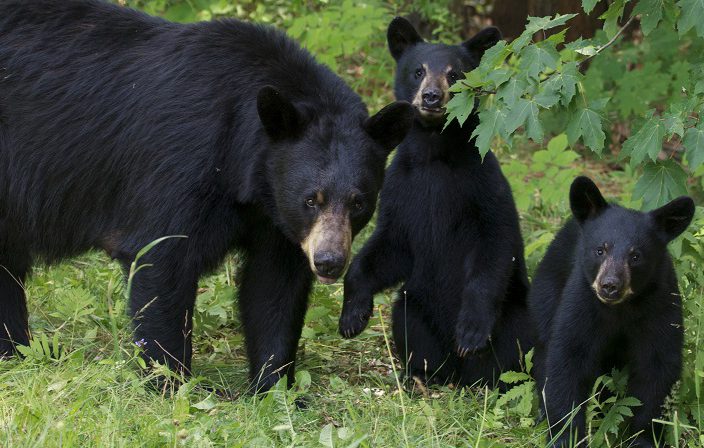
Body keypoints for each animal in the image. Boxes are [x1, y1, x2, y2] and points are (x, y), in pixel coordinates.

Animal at [0, 0, 414, 393]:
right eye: (311, 199)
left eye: (359, 202)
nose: (329, 262)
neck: (243, 169)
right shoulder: (179, 165)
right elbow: (160, 259)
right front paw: (171, 383)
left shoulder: (274, 215)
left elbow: (274, 287)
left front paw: (276, 388)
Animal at [338, 16, 533, 388]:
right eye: (418, 71)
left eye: (454, 74)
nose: (431, 96)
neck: (434, 154)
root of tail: (461, 377)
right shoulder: (400, 188)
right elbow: (389, 245)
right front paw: (352, 315)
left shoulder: (483, 184)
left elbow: (496, 242)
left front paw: (471, 331)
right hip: (416, 304)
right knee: (408, 322)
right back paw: (419, 375)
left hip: (514, 314)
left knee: (516, 347)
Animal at [528, 176, 694, 447]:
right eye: (600, 249)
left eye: (635, 256)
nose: (610, 285)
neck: (621, 308)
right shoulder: (582, 302)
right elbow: (567, 359)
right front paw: (567, 436)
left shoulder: (660, 304)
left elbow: (657, 367)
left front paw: (643, 438)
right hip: (546, 294)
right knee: (544, 348)